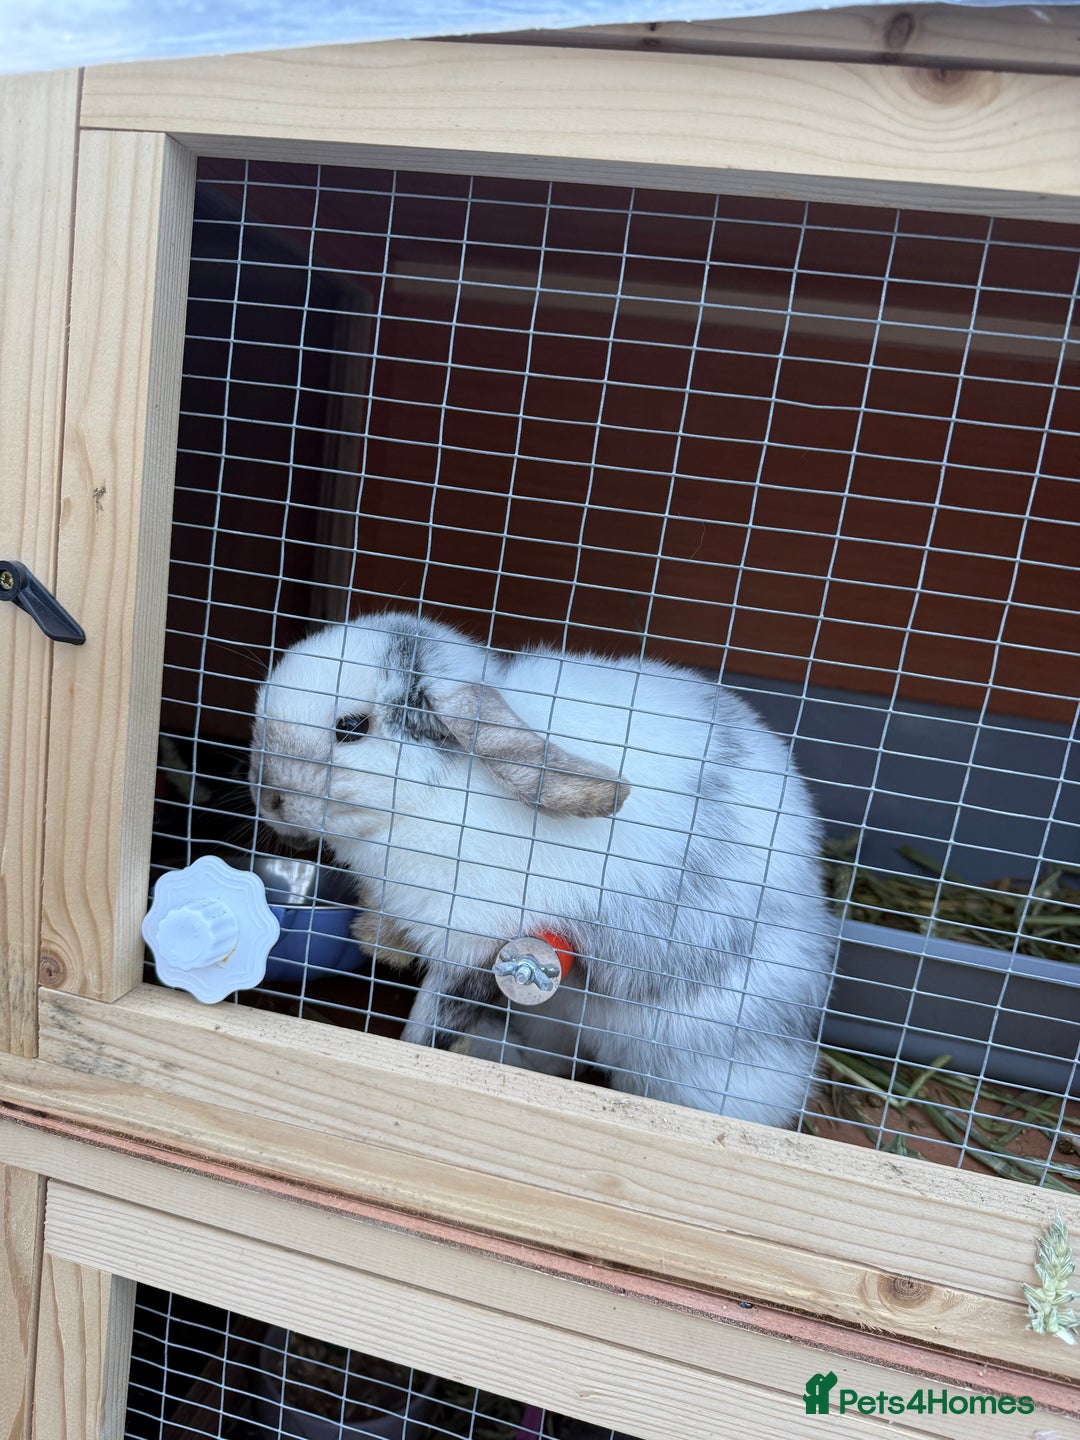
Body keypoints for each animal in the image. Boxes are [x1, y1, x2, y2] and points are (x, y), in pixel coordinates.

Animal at [248, 609, 837, 1127]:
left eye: (351, 727)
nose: (269, 799)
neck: (436, 796)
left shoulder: (476, 942)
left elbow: (437, 1018)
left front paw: (410, 1052)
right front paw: (375, 939)